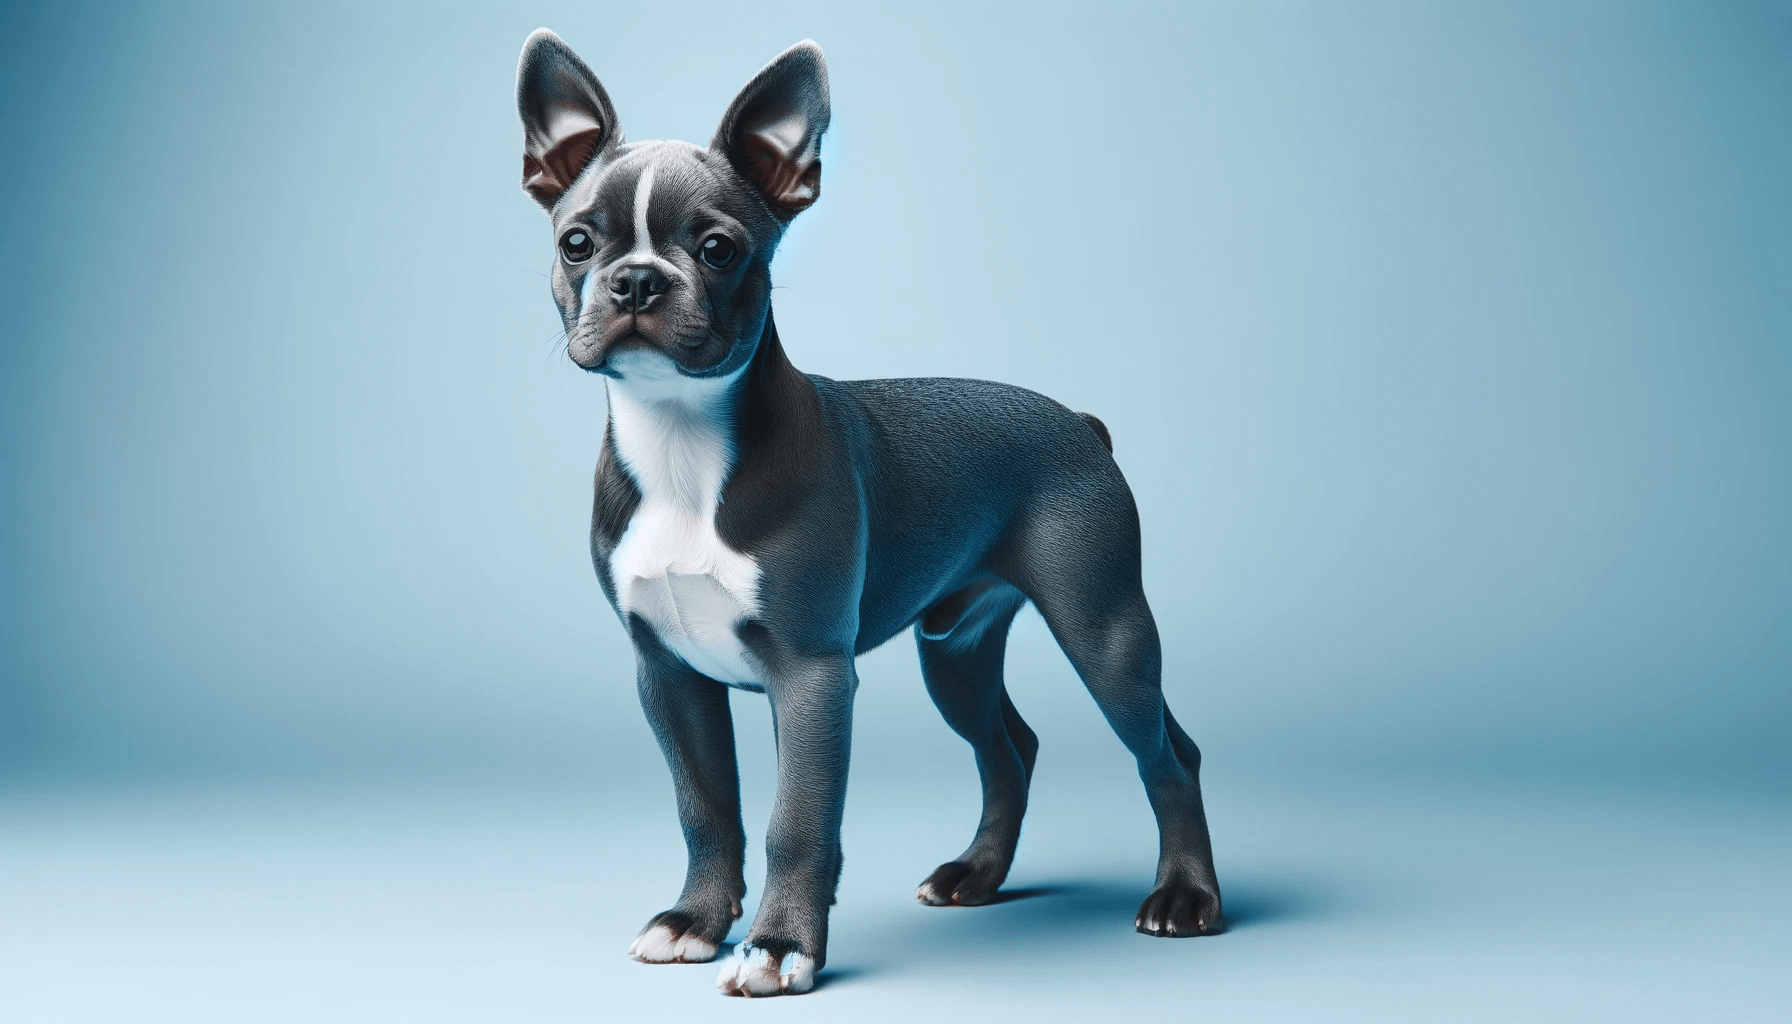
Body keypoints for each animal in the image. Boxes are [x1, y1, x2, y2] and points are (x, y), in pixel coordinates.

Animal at [512, 30, 1225, 997]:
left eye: (718, 249)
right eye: (577, 243)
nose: (635, 281)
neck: (681, 440)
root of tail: (1079, 423)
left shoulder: (812, 674)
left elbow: (796, 818)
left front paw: (780, 944)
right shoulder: (669, 673)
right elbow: (706, 804)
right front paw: (697, 920)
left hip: (1103, 629)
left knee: (1167, 752)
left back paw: (1185, 897)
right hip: (954, 651)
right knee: (1008, 748)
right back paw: (975, 875)